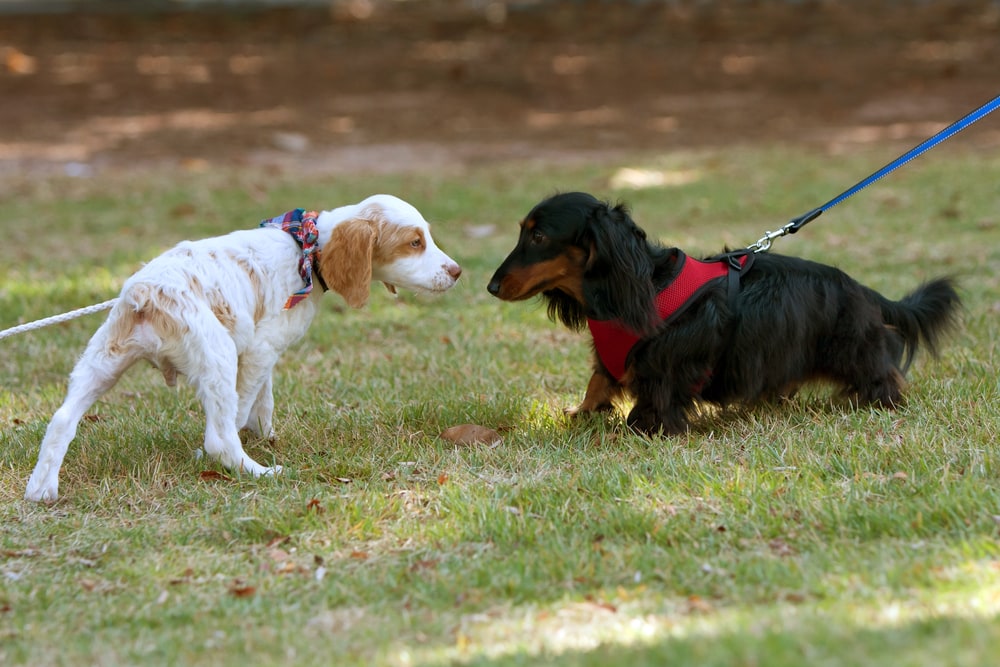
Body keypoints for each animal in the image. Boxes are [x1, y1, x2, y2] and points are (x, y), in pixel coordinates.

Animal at [24, 193, 460, 500]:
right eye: (415, 242)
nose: (457, 271)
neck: (307, 248)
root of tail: (146, 293)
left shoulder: (261, 351)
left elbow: (263, 400)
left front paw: (265, 434)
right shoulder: (259, 350)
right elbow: (243, 407)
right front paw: (251, 445)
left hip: (101, 360)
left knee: (61, 419)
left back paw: (41, 490)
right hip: (216, 355)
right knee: (219, 438)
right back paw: (259, 472)